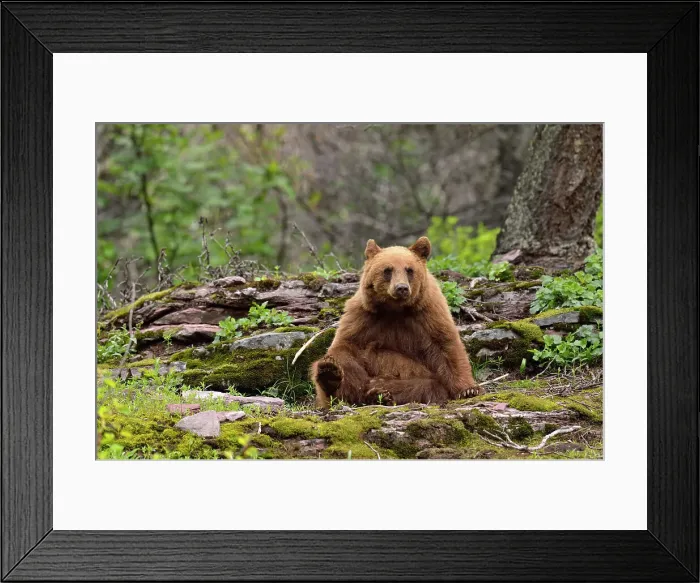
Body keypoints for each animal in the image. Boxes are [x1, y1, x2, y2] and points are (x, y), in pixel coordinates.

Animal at [311, 236, 482, 408]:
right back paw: (332, 376)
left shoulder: (428, 313)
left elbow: (446, 346)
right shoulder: (362, 316)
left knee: (422, 386)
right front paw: (332, 370)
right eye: (387, 270)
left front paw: (468, 390)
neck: (395, 309)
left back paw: (380, 393)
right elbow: (345, 347)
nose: (401, 288)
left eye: (409, 270)